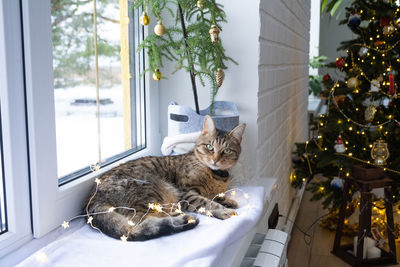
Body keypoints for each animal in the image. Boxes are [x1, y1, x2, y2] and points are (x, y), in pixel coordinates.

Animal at [86, 116, 245, 242]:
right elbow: (208, 203)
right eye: (209, 147)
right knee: (142, 221)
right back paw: (179, 218)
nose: (215, 160)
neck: (217, 175)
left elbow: (215, 197)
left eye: (227, 151)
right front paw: (224, 210)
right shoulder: (187, 193)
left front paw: (228, 201)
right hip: (149, 190)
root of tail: (92, 201)